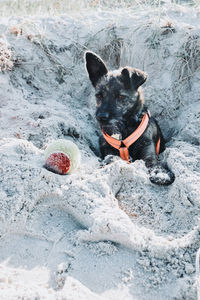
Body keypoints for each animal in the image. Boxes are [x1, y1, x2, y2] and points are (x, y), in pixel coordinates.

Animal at [85, 51, 175, 185]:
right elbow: (111, 157)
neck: (123, 129)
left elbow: (155, 164)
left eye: (121, 96)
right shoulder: (106, 149)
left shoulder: (148, 153)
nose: (101, 117)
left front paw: (161, 174)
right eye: (99, 95)